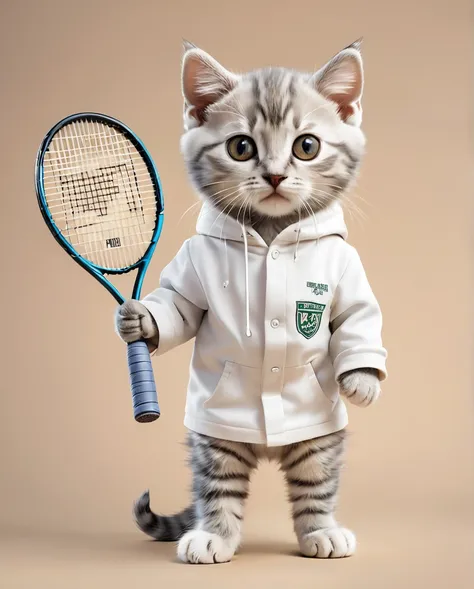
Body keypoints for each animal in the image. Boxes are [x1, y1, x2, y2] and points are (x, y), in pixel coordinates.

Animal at [115, 39, 386, 564]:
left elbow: (356, 319)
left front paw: (362, 381)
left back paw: (321, 531)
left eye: (306, 146)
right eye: (241, 147)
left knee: (315, 481)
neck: (271, 233)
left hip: (317, 437)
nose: (276, 175)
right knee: (219, 485)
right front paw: (140, 319)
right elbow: (178, 308)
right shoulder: (191, 266)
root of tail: (268, 448)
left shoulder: (349, 271)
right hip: (216, 436)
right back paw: (213, 535)